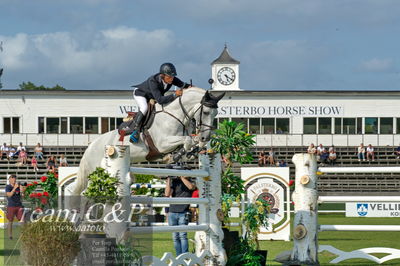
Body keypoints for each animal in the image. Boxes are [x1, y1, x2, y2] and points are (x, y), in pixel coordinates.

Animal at [64, 87, 223, 204]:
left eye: (216, 114)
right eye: (206, 112)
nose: (206, 136)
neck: (175, 115)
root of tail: (90, 147)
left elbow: (190, 141)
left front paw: (190, 151)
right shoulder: (163, 143)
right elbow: (187, 140)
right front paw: (177, 155)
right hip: (96, 173)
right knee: (85, 195)